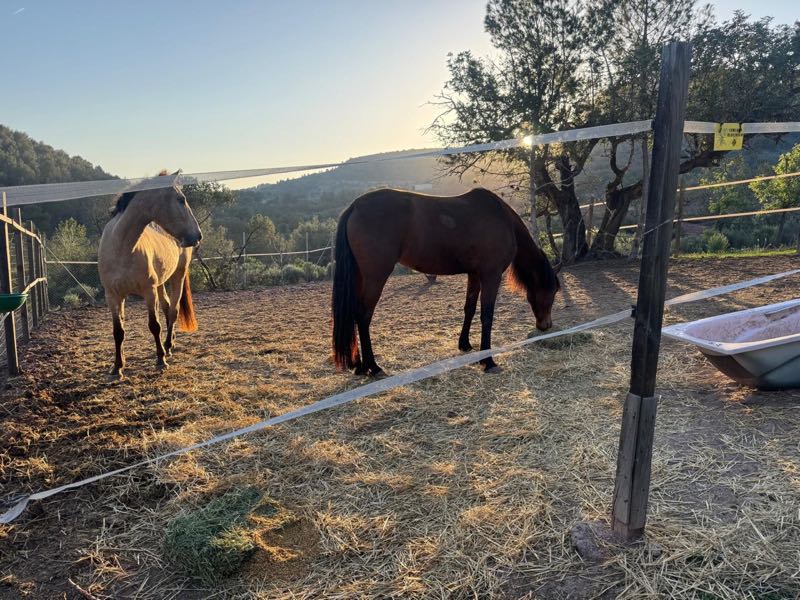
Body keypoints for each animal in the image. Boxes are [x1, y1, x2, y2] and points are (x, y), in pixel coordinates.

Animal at [98, 171, 202, 379]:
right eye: (181, 199)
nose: (198, 235)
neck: (122, 248)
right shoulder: (112, 296)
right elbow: (118, 331)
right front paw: (117, 367)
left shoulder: (148, 291)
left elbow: (154, 325)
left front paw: (160, 360)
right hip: (161, 283)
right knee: (167, 307)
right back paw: (168, 344)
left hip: (177, 276)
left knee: (173, 311)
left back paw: (168, 346)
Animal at [332, 187, 560, 376]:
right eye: (553, 291)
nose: (546, 325)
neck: (502, 219)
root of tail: (355, 206)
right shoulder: (491, 275)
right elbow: (487, 315)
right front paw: (488, 361)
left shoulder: (474, 274)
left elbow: (469, 308)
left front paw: (465, 345)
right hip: (375, 277)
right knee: (363, 316)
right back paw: (373, 367)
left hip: (360, 277)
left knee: (354, 314)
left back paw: (360, 367)